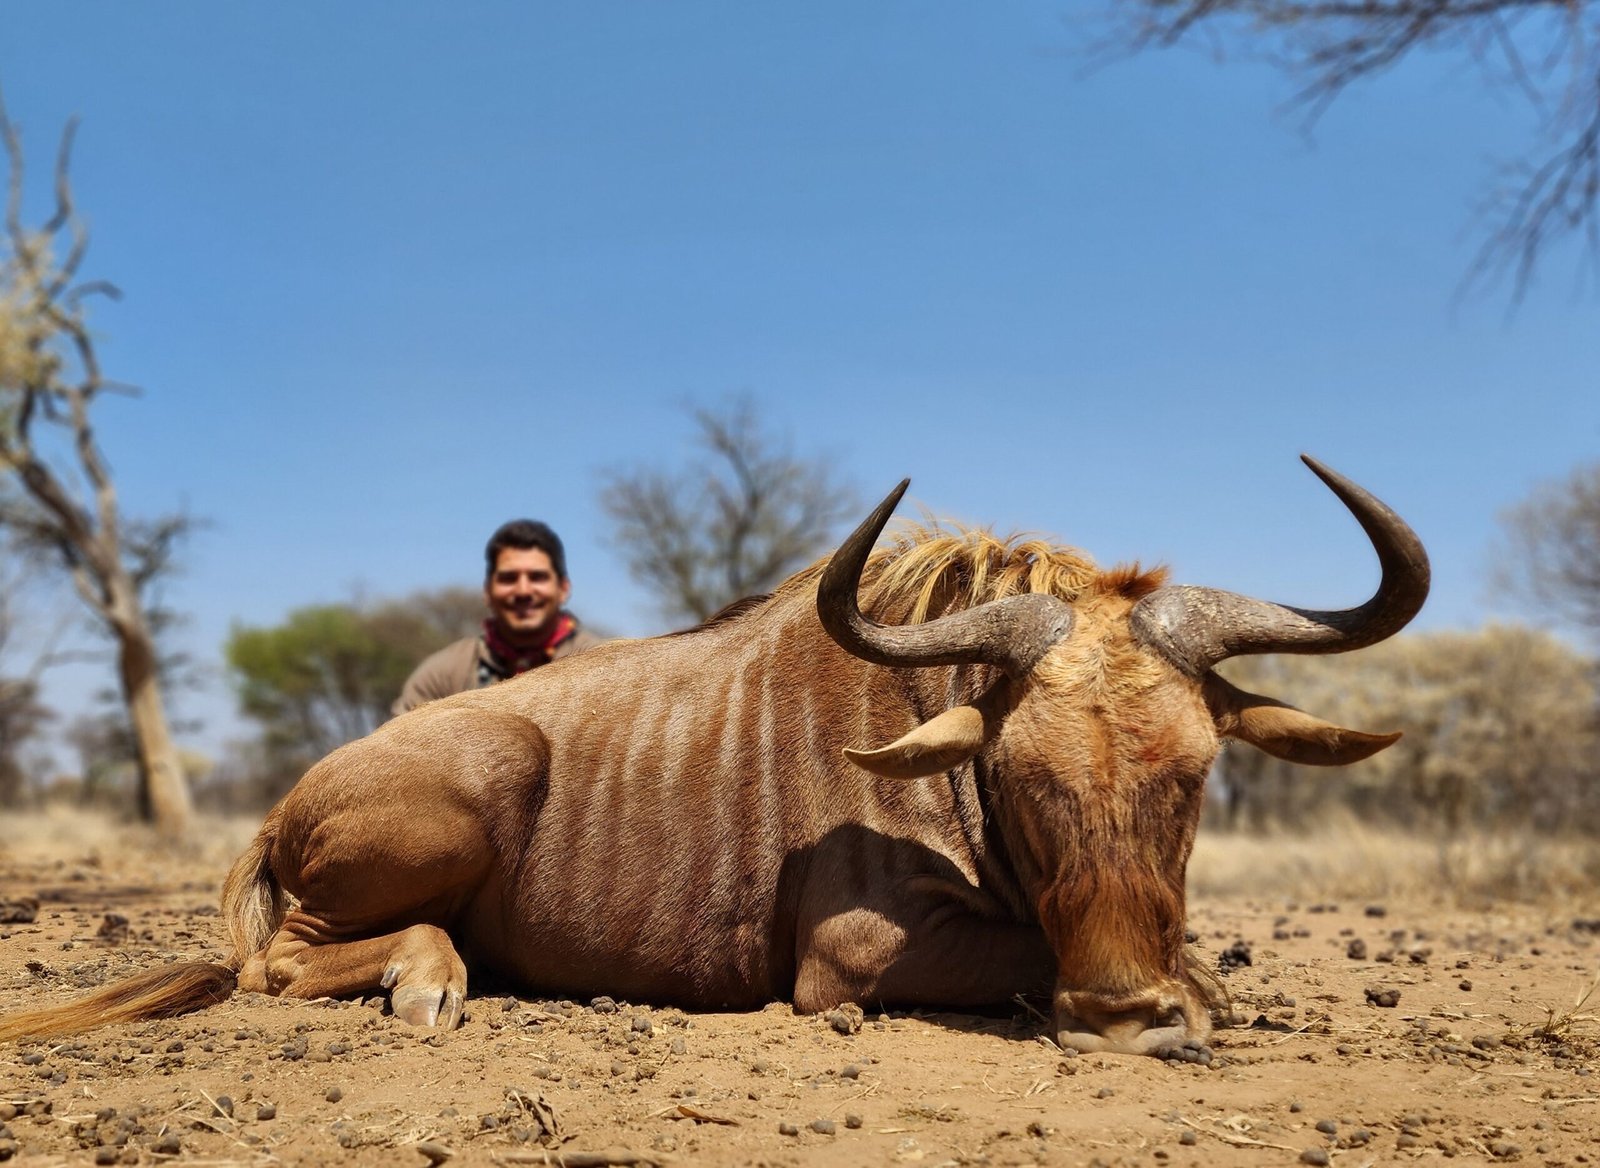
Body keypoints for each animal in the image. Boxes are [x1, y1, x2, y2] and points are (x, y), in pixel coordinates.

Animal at [0, 456, 1428, 1058]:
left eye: (1193, 774)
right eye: (1023, 776)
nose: (1123, 1020)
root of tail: (287, 804)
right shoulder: (849, 961)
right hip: (484, 775)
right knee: (286, 960)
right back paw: (429, 979)